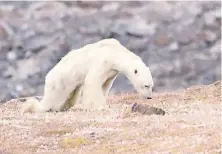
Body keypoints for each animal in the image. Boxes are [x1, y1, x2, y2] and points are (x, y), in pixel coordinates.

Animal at [21, 38, 153, 113]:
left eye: (151, 85)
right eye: (146, 85)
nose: (149, 97)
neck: (114, 52)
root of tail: (48, 78)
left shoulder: (111, 71)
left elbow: (105, 85)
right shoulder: (102, 61)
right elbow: (92, 81)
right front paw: (100, 107)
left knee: (71, 97)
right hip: (59, 82)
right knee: (52, 100)